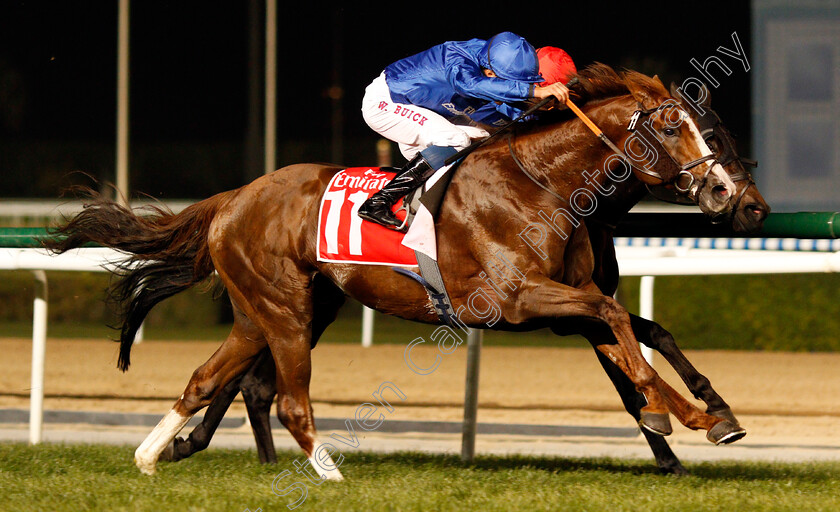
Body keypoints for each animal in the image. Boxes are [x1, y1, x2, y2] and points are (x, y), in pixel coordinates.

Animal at [46, 65, 768, 480]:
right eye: (676, 130)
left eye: (716, 132)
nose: (737, 199)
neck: (542, 184)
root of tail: (233, 198)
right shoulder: (518, 299)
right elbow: (622, 328)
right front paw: (681, 416)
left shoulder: (571, 299)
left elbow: (634, 334)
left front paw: (702, 414)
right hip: (284, 308)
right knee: (280, 393)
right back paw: (323, 472)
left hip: (268, 310)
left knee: (210, 378)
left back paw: (153, 454)